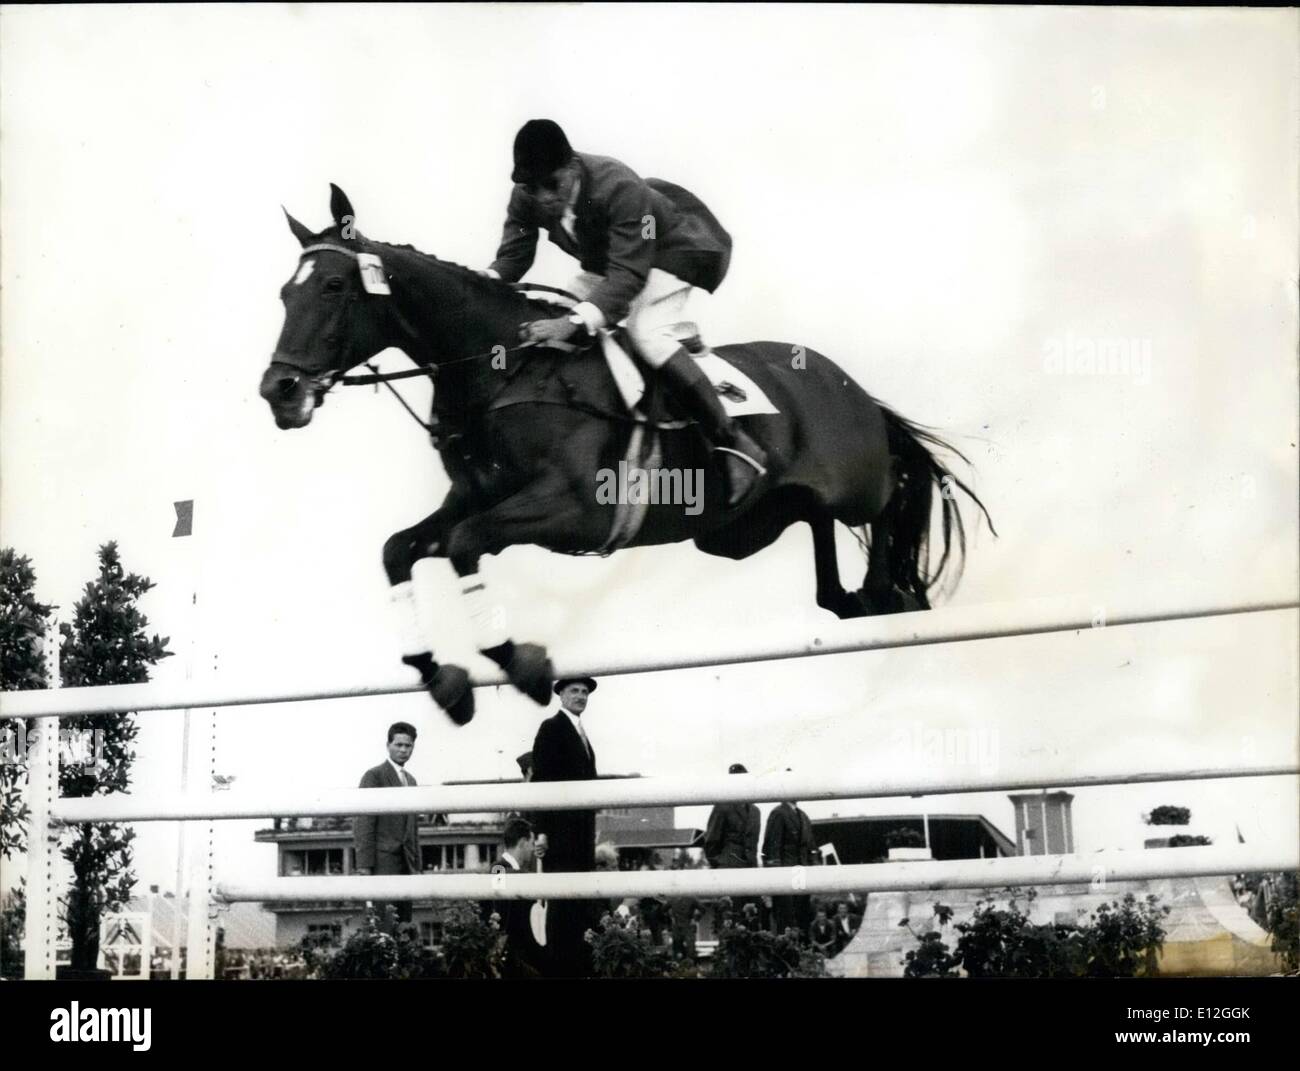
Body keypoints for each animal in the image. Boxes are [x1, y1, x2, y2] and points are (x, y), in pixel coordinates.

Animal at [261, 185, 993, 725]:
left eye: (332, 288)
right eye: (285, 292)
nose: (278, 392)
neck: (505, 371)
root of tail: (854, 389)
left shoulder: (572, 511)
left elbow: (467, 543)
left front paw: (517, 662)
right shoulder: (474, 497)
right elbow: (401, 549)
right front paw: (439, 675)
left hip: (856, 484)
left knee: (893, 500)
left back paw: (891, 591)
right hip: (741, 530)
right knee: (824, 557)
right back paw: (860, 598)